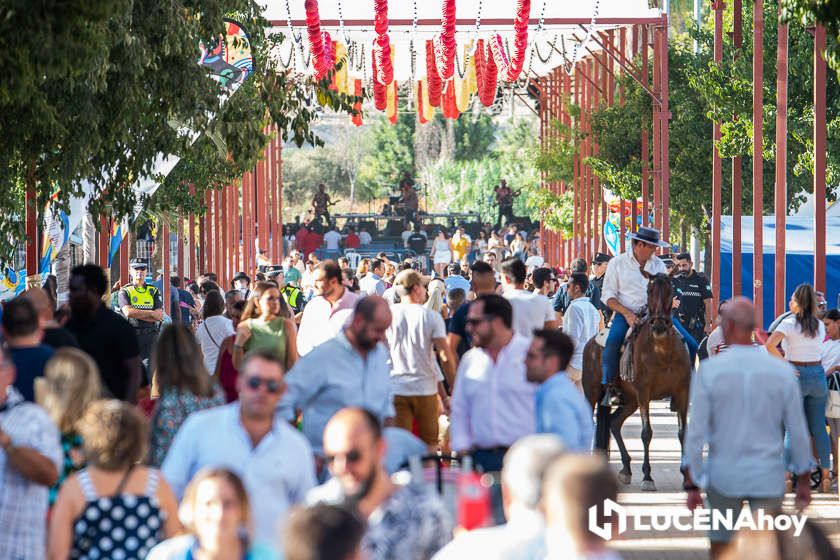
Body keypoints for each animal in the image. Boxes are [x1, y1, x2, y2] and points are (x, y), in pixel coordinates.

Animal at [580, 270, 692, 490]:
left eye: (670, 289)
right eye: (649, 290)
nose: (659, 325)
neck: (663, 352)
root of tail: (591, 343)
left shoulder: (682, 392)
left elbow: (683, 433)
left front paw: (687, 478)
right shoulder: (644, 392)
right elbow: (646, 433)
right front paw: (648, 476)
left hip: (630, 400)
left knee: (614, 423)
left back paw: (626, 468)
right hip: (593, 392)